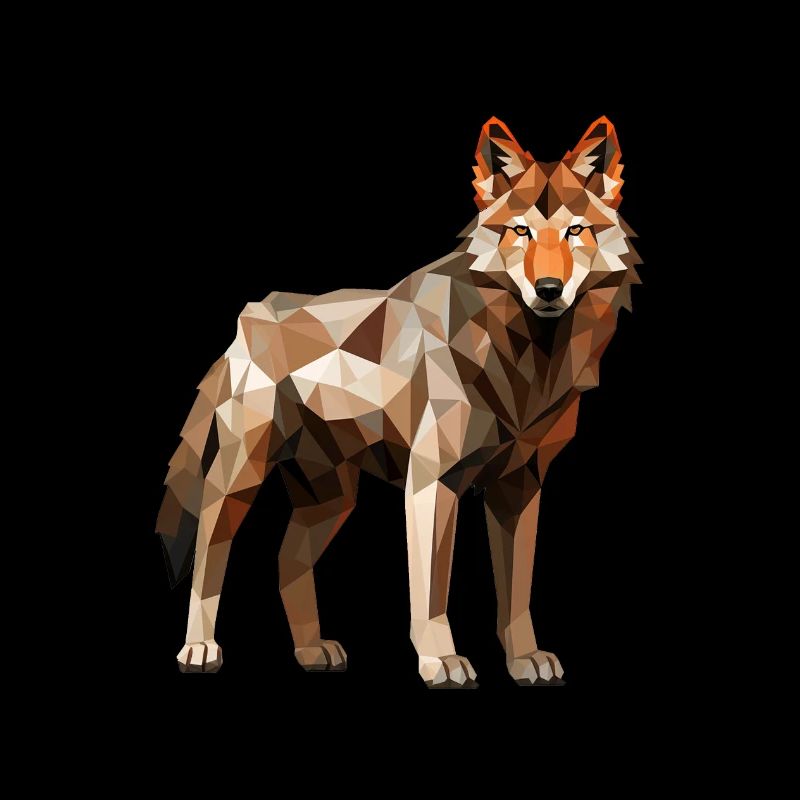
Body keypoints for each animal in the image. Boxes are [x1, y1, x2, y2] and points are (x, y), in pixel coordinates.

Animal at [156, 116, 640, 686]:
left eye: (575, 231)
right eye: (519, 231)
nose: (548, 289)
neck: (527, 359)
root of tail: (248, 316)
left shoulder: (520, 487)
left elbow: (517, 592)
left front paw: (525, 659)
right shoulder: (432, 481)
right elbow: (431, 591)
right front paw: (441, 661)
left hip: (331, 501)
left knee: (286, 559)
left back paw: (311, 651)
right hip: (241, 479)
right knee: (210, 549)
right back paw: (199, 648)